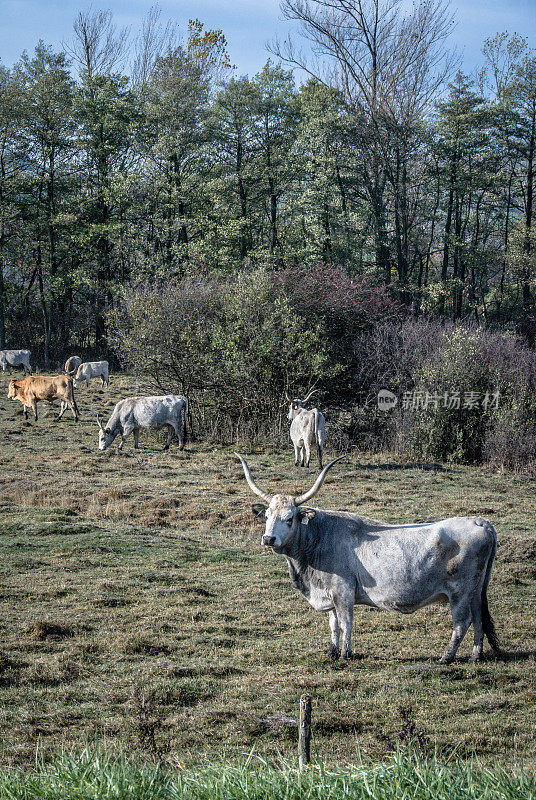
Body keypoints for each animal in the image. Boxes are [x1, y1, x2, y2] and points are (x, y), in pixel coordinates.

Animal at [234, 454, 498, 664]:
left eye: (289, 519)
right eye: (267, 515)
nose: (268, 539)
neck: (319, 539)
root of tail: (480, 521)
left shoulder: (343, 592)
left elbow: (346, 623)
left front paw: (345, 654)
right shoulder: (329, 593)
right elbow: (333, 624)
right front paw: (331, 651)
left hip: (459, 592)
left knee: (462, 623)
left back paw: (446, 657)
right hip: (474, 592)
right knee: (478, 620)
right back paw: (475, 656)